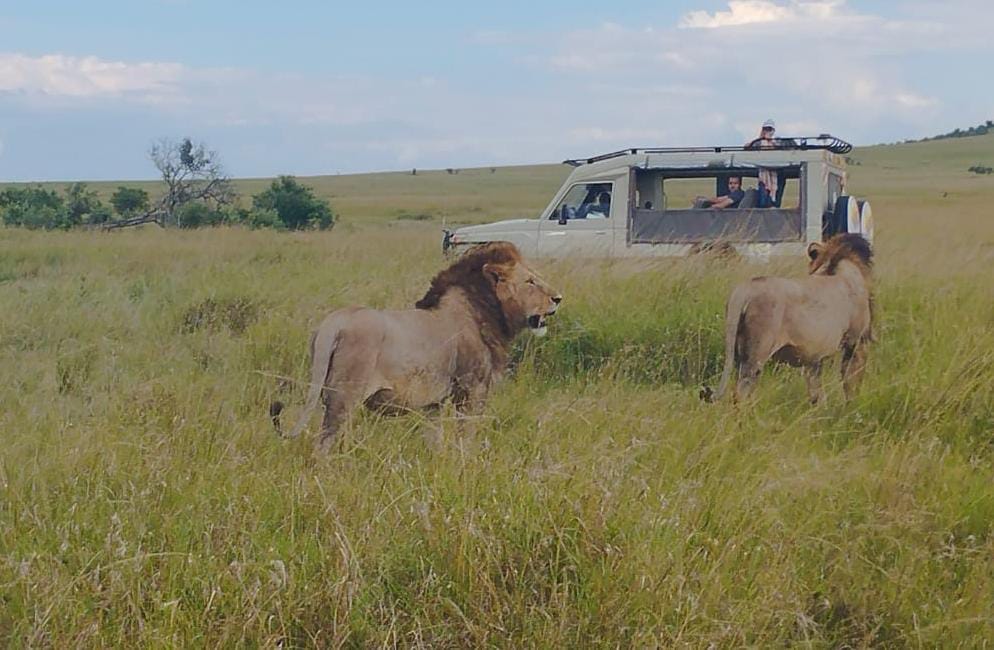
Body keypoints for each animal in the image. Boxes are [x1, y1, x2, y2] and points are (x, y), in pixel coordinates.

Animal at [273, 242, 562, 450]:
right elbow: (466, 434)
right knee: (324, 443)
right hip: (344, 396)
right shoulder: (472, 389)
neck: (482, 310)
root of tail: (333, 322)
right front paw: (467, 462)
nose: (558, 298)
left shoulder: (433, 402)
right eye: (530, 282)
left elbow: (434, 437)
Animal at [703, 233, 873, 403]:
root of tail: (744, 290)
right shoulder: (856, 341)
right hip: (756, 353)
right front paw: (851, 404)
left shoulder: (814, 354)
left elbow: (816, 390)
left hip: (738, 350)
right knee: (742, 390)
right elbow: (851, 380)